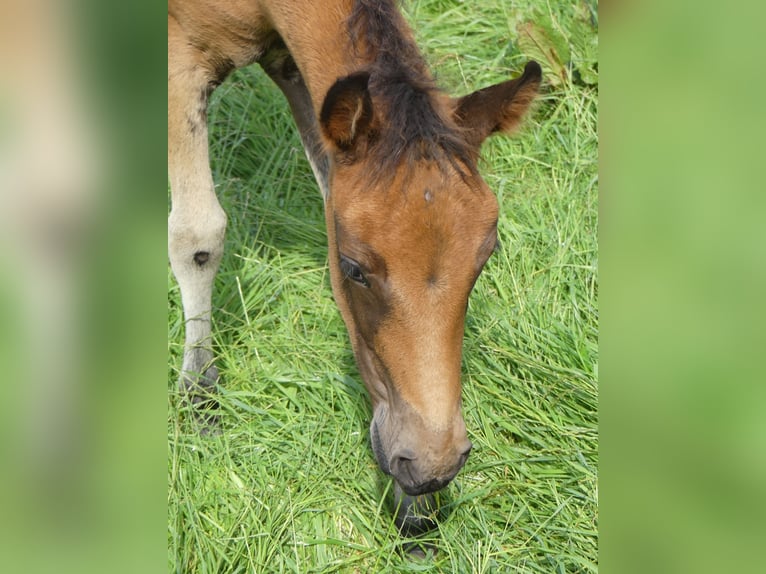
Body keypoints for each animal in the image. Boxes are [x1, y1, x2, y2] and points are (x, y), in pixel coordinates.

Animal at [168, 0, 544, 532]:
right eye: (354, 269)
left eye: (485, 259)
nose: (433, 466)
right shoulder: (182, 50)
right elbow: (198, 237)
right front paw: (200, 397)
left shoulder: (298, 69)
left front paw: (413, 507)